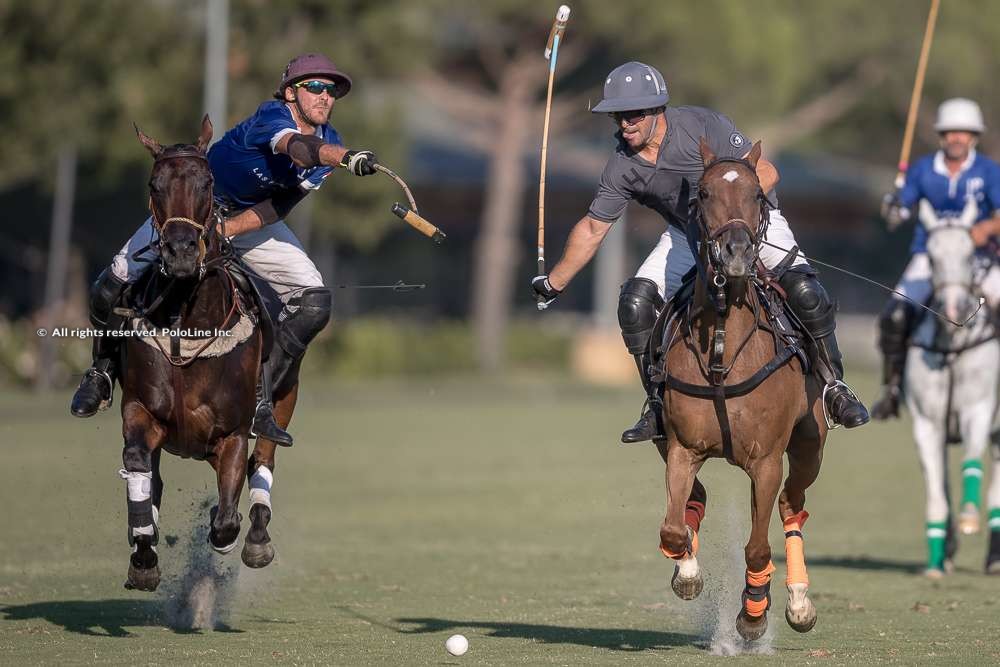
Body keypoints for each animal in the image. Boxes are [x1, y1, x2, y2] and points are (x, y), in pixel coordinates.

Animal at [119, 117, 288, 592]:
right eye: (154, 184)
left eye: (207, 182)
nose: (179, 253)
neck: (189, 320)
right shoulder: (140, 410)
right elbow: (137, 465)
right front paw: (143, 554)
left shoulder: (232, 432)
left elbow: (227, 516)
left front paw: (225, 532)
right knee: (151, 476)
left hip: (282, 401)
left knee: (264, 457)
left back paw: (257, 538)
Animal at [652, 140, 824, 640]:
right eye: (704, 193)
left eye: (756, 194)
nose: (736, 253)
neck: (724, 344)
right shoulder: (683, 448)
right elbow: (673, 527)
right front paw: (688, 575)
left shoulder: (765, 461)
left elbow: (757, 548)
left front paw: (753, 614)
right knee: (702, 502)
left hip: (809, 446)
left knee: (790, 504)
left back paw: (798, 603)